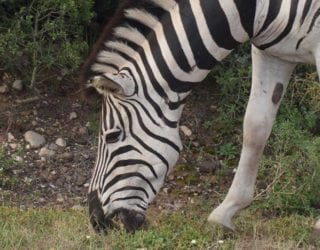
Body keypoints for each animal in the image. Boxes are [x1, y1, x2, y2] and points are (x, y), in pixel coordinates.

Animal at [82, 0, 320, 232]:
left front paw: (318, 224)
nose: (97, 222)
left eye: (112, 136)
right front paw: (226, 210)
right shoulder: (272, 54)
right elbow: (255, 128)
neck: (253, 9)